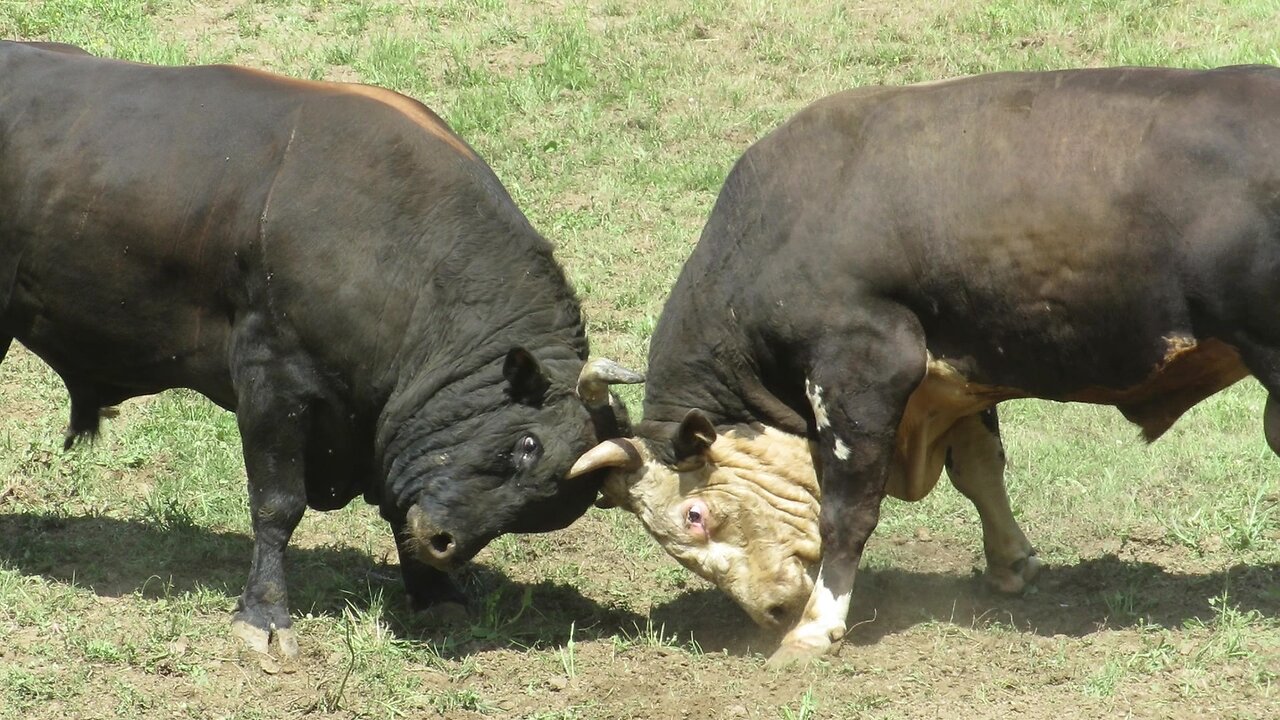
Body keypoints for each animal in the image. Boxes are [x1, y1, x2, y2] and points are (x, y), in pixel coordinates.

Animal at [576, 65, 1280, 661]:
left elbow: (848, 511)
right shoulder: (956, 376)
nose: (772, 611)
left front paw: (816, 627)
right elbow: (980, 470)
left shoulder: (863, 368)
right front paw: (1011, 563)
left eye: (695, 516)